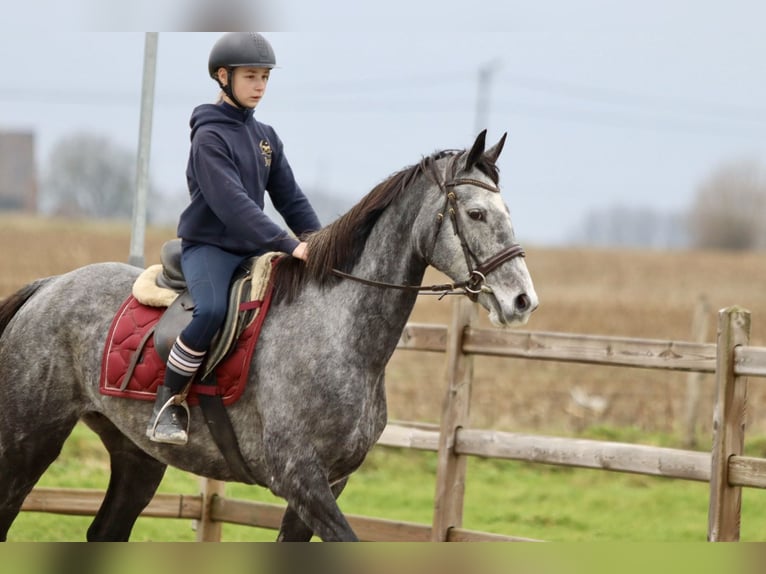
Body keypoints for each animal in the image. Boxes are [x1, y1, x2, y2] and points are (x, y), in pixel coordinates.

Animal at [0, 129, 540, 540]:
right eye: (476, 213)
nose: (522, 300)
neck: (337, 333)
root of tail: (50, 286)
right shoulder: (300, 479)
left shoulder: (330, 483)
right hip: (28, 442)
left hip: (137, 456)